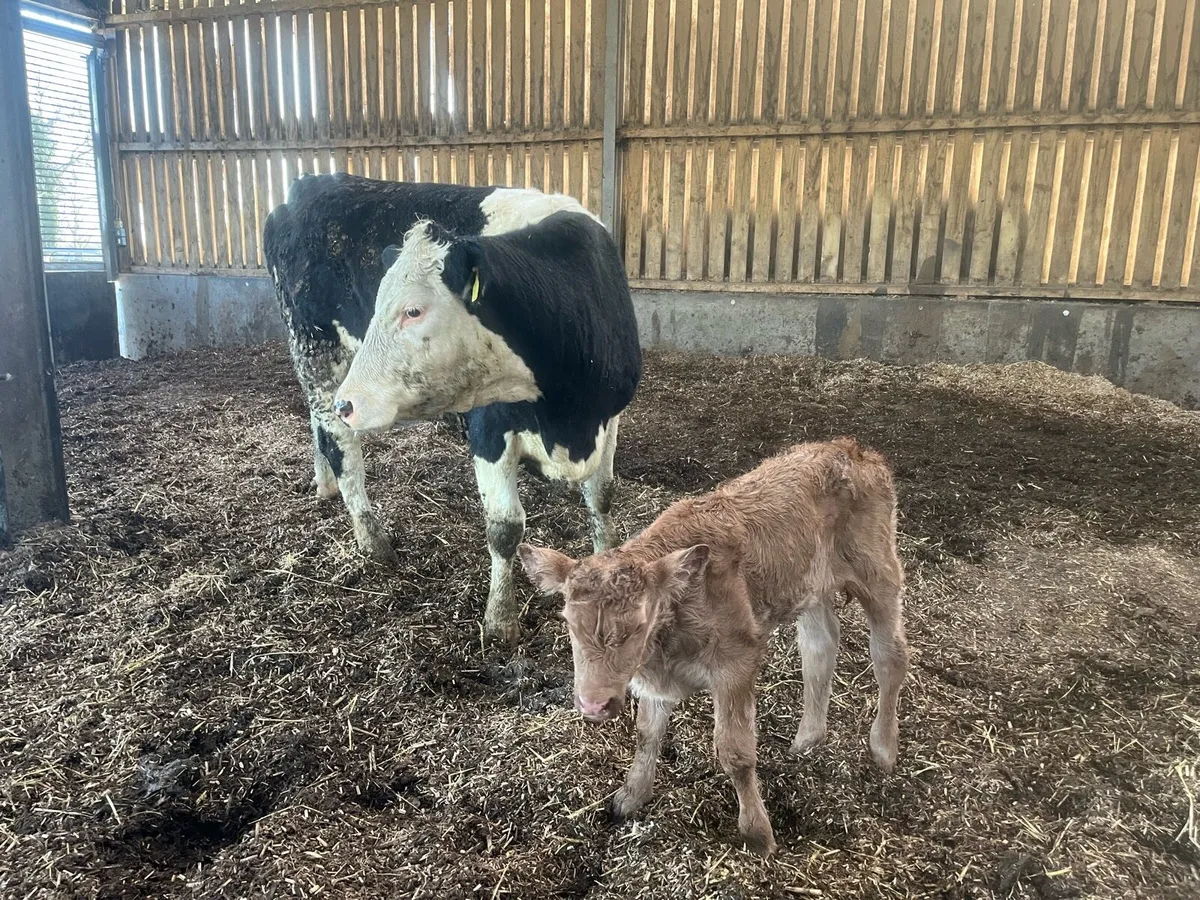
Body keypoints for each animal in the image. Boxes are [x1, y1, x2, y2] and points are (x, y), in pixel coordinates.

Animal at [264, 174, 641, 642]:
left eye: (413, 310)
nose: (349, 402)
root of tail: (308, 184)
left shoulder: (611, 416)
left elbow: (602, 496)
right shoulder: (488, 429)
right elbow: (505, 528)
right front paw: (500, 619)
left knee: (318, 425)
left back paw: (325, 484)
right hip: (316, 353)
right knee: (341, 448)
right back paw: (372, 540)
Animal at [516, 438, 910, 856]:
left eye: (637, 627)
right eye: (569, 623)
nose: (593, 705)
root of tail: (849, 449)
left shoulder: (736, 664)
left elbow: (734, 752)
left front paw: (757, 834)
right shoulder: (655, 684)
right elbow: (646, 735)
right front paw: (632, 795)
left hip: (878, 570)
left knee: (889, 657)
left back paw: (883, 748)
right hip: (809, 587)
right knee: (820, 645)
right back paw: (807, 739)